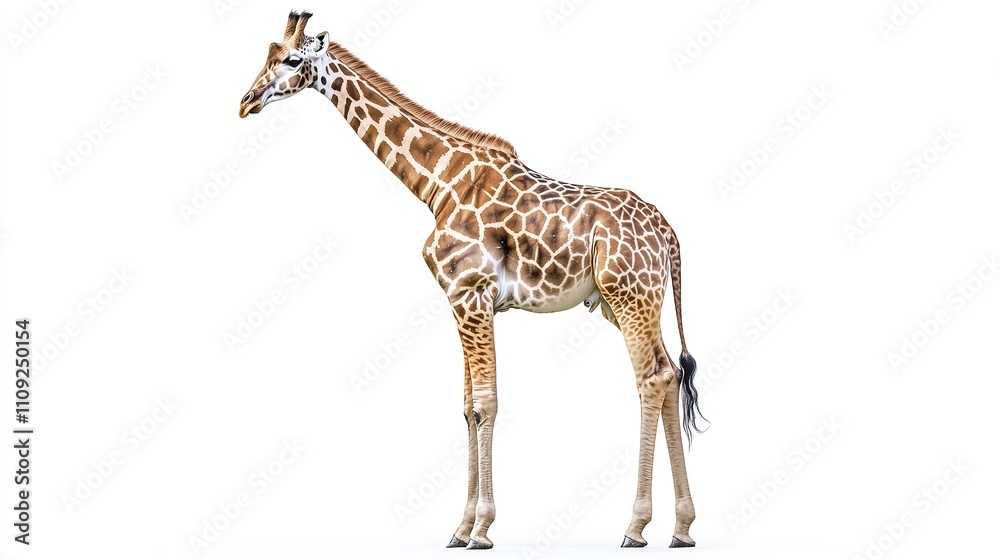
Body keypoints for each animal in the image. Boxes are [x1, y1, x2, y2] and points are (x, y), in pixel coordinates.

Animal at [239, 11, 707, 550]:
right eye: (267, 54)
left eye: (293, 60)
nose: (246, 101)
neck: (436, 185)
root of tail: (667, 231)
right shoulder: (460, 300)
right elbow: (466, 407)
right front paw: (459, 529)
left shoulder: (472, 294)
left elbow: (485, 404)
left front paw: (482, 528)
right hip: (629, 301)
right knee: (670, 372)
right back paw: (681, 528)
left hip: (629, 295)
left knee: (651, 378)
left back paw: (635, 527)